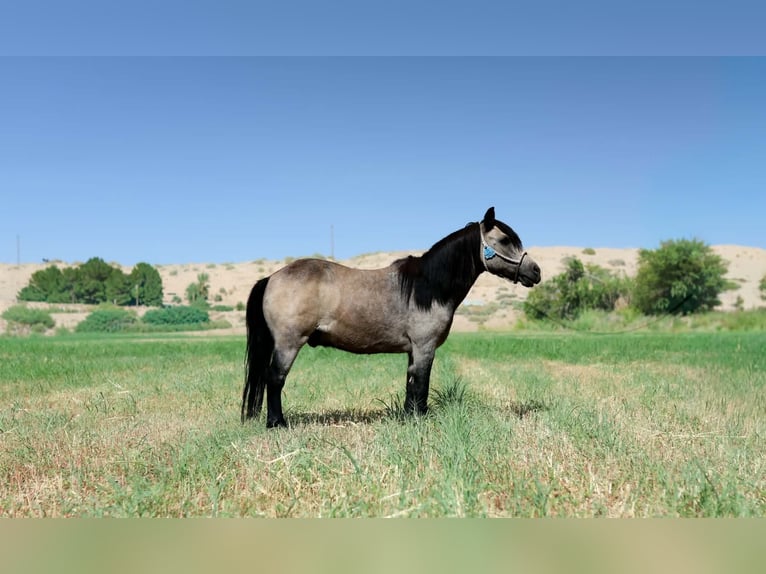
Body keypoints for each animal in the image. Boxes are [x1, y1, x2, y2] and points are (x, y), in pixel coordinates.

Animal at [242, 207, 541, 427]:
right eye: (505, 240)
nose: (536, 271)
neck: (428, 287)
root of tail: (272, 277)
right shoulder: (424, 347)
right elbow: (421, 384)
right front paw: (420, 419)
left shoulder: (413, 350)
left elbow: (411, 384)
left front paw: (409, 417)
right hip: (289, 343)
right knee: (274, 378)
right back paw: (277, 423)